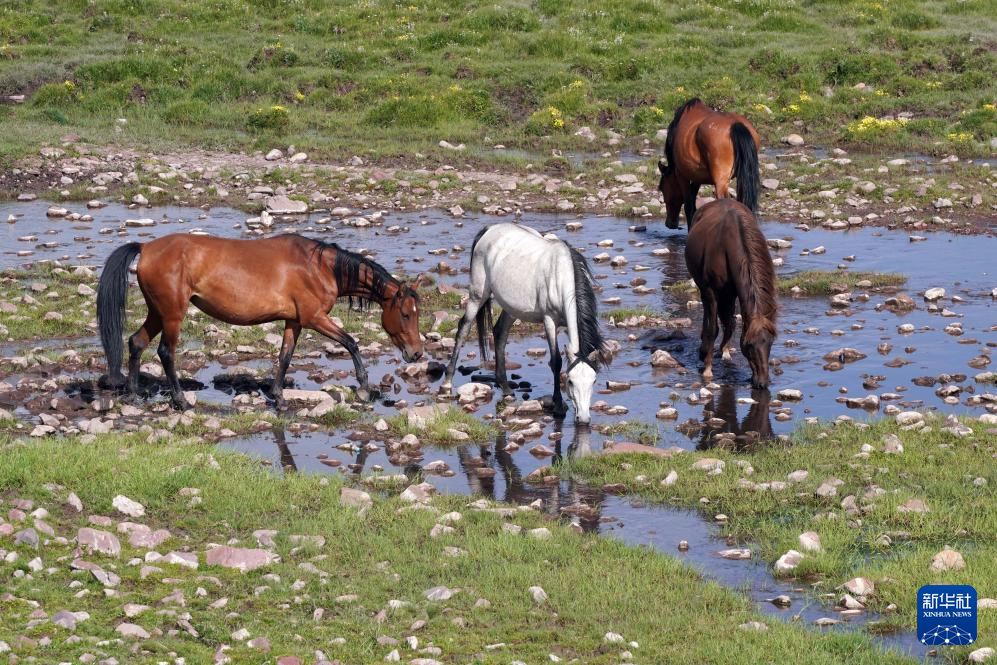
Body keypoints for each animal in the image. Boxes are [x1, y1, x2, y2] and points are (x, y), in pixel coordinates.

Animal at [99, 233, 426, 410]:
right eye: (406, 314)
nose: (416, 353)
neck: (320, 267)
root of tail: (146, 247)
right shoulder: (315, 318)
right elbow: (351, 343)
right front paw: (364, 388)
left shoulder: (295, 322)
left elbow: (285, 357)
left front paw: (278, 398)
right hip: (171, 315)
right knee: (166, 352)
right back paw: (179, 400)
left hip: (158, 313)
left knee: (136, 342)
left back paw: (133, 395)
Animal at [444, 220, 608, 422]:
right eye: (570, 381)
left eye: (594, 380)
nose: (584, 418)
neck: (562, 276)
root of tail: (489, 229)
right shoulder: (549, 320)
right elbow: (556, 361)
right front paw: (558, 406)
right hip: (477, 294)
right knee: (463, 328)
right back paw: (447, 382)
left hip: (511, 307)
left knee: (500, 333)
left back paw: (505, 387)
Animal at [656, 97, 760, 230]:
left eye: (662, 188)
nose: (670, 224)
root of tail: (735, 125)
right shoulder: (696, 176)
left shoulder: (682, 175)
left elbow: (689, 205)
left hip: (720, 181)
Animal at [684, 201, 780, 390]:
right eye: (749, 345)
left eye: (770, 342)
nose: (762, 383)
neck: (728, 246)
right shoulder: (711, 291)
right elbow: (713, 328)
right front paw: (708, 369)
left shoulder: (734, 292)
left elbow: (730, 322)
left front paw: (724, 351)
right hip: (705, 289)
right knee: (708, 316)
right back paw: (704, 349)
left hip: (727, 294)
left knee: (728, 320)